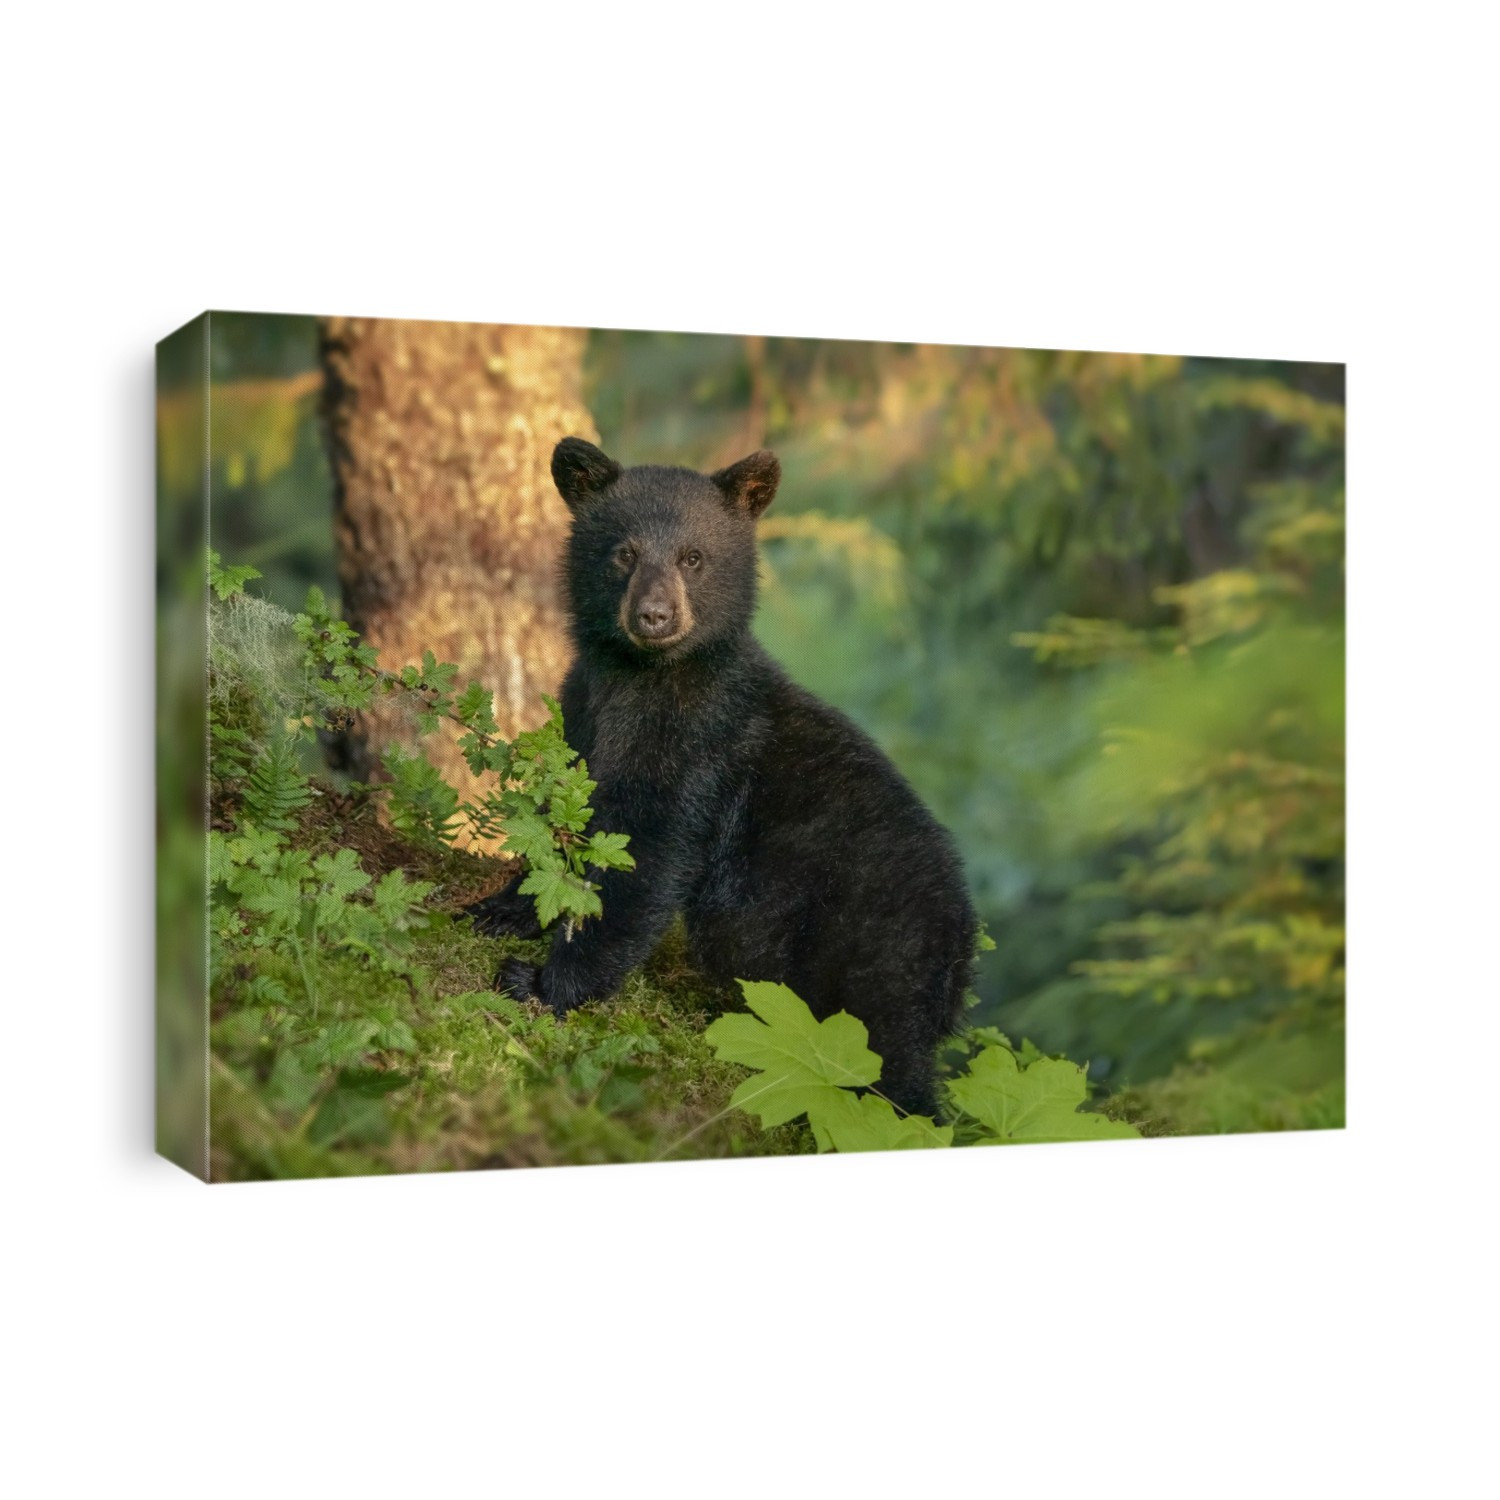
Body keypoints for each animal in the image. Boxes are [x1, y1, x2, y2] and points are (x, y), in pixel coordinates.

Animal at [468, 437, 978, 1118]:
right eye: (625, 552)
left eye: (694, 558)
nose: (655, 616)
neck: (643, 678)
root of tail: (959, 957)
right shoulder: (582, 715)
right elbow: (560, 825)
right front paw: (502, 907)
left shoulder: (699, 746)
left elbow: (645, 859)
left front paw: (545, 984)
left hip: (874, 946)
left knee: (886, 1062)